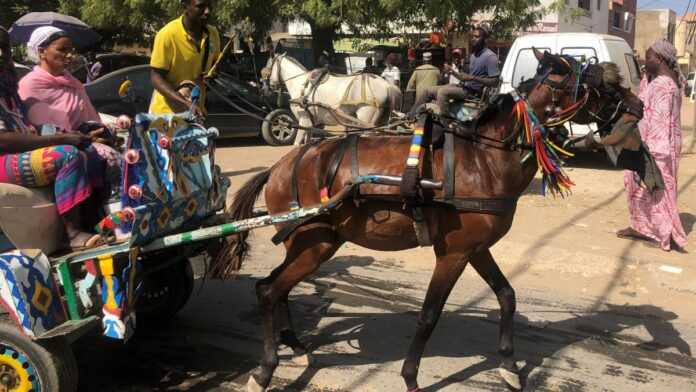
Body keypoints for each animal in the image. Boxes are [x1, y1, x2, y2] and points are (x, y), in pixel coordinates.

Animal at [262, 52, 402, 144]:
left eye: (269, 65)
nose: (269, 86)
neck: (301, 85)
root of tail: (386, 85)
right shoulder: (310, 124)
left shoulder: (304, 120)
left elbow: (296, 144)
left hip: (367, 122)